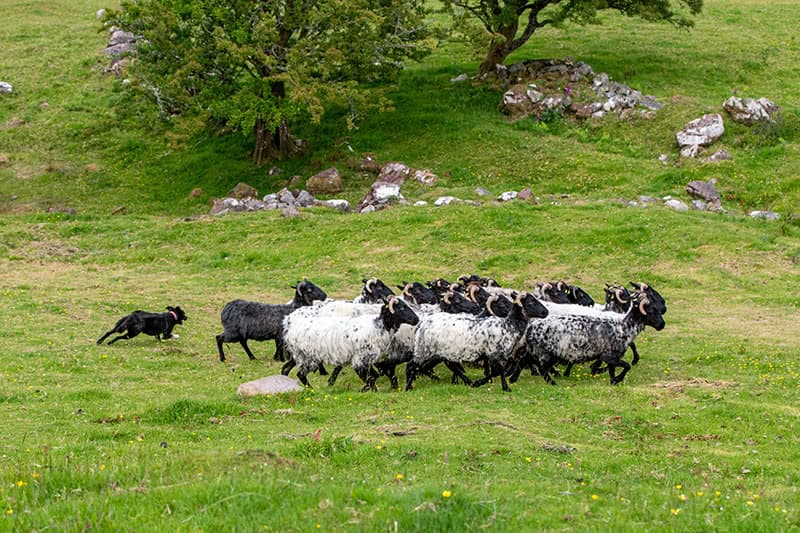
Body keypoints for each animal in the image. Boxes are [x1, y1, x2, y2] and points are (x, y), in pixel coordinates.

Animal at [282, 298, 418, 388]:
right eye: (401, 308)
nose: (416, 319)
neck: (378, 326)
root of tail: (290, 330)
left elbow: (373, 376)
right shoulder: (360, 358)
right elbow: (370, 377)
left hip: (299, 355)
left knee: (287, 369)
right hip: (309, 357)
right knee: (300, 374)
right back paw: (311, 390)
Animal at [406, 290, 552, 390]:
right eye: (531, 302)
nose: (546, 312)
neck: (509, 325)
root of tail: (422, 324)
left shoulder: (495, 355)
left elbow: (496, 372)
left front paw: (479, 383)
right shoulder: (495, 353)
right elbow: (498, 371)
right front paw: (505, 387)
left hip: (439, 352)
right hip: (425, 350)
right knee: (412, 365)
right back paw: (408, 387)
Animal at [520, 288, 664, 384]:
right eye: (651, 310)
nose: (662, 324)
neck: (623, 326)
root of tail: (532, 327)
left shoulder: (611, 357)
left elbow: (612, 370)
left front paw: (613, 381)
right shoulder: (609, 356)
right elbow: (626, 366)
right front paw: (618, 378)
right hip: (545, 352)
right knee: (542, 368)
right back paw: (553, 381)